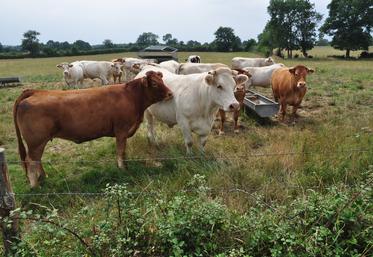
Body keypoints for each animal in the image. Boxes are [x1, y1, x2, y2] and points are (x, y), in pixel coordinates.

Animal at [13, 71, 173, 187]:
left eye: (162, 80)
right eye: (154, 83)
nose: (170, 94)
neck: (131, 97)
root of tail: (36, 91)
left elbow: (123, 151)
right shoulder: (121, 130)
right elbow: (120, 151)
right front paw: (122, 169)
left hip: (38, 143)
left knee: (36, 160)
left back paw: (43, 178)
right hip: (36, 142)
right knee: (31, 161)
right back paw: (35, 186)